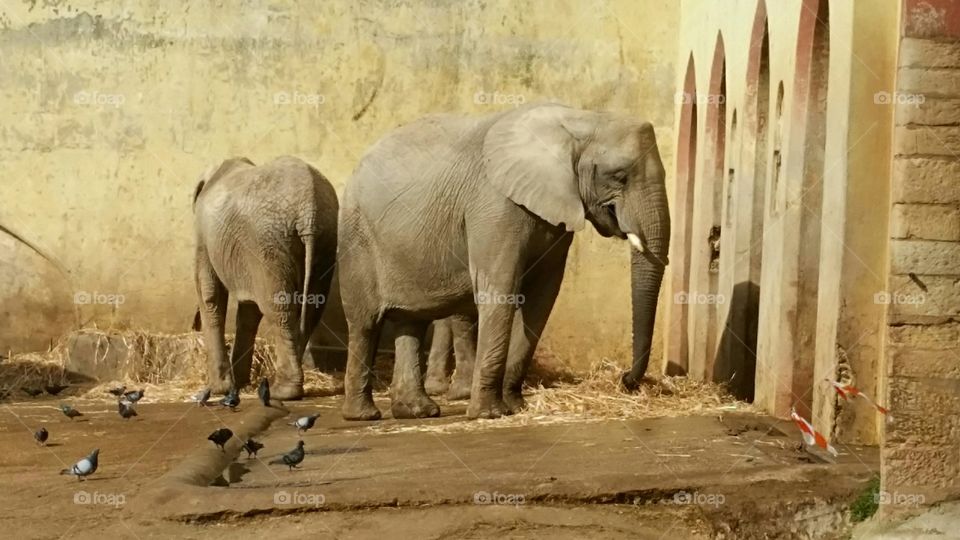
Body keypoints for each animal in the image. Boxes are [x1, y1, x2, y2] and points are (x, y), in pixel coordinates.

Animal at [192, 156, 338, 400]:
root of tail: (308, 210)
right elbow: (248, 309)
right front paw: (238, 384)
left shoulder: (204, 234)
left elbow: (210, 293)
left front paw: (218, 389)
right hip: (324, 239)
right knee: (311, 310)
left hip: (268, 243)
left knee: (278, 310)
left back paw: (283, 392)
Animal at [338, 103, 669, 420]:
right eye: (620, 176)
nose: (625, 379)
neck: (580, 119)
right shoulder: (495, 206)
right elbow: (501, 289)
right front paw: (490, 414)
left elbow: (542, 297)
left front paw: (515, 407)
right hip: (357, 235)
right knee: (365, 323)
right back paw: (364, 415)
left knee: (412, 322)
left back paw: (417, 412)